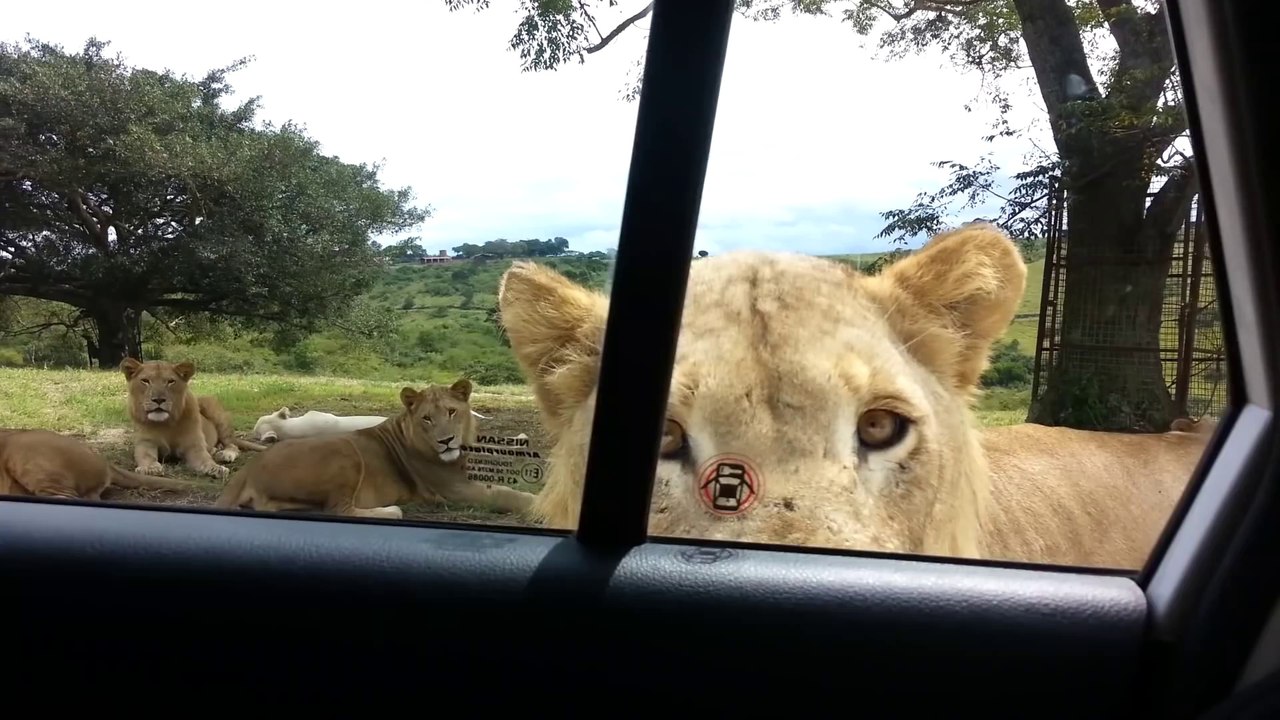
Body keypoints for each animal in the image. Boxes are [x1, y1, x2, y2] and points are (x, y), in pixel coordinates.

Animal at [121, 357, 267, 480]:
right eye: (145, 381)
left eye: (170, 381)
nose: (159, 400)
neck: (166, 423)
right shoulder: (145, 443)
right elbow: (146, 456)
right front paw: (150, 468)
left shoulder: (194, 445)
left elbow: (205, 460)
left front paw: (217, 469)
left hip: (212, 408)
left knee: (232, 444)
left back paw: (225, 454)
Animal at [215, 378, 537, 519]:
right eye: (426, 418)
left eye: (452, 412)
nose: (446, 441)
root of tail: (247, 471)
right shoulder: (454, 488)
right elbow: (505, 495)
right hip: (346, 453)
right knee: (338, 509)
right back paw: (392, 510)